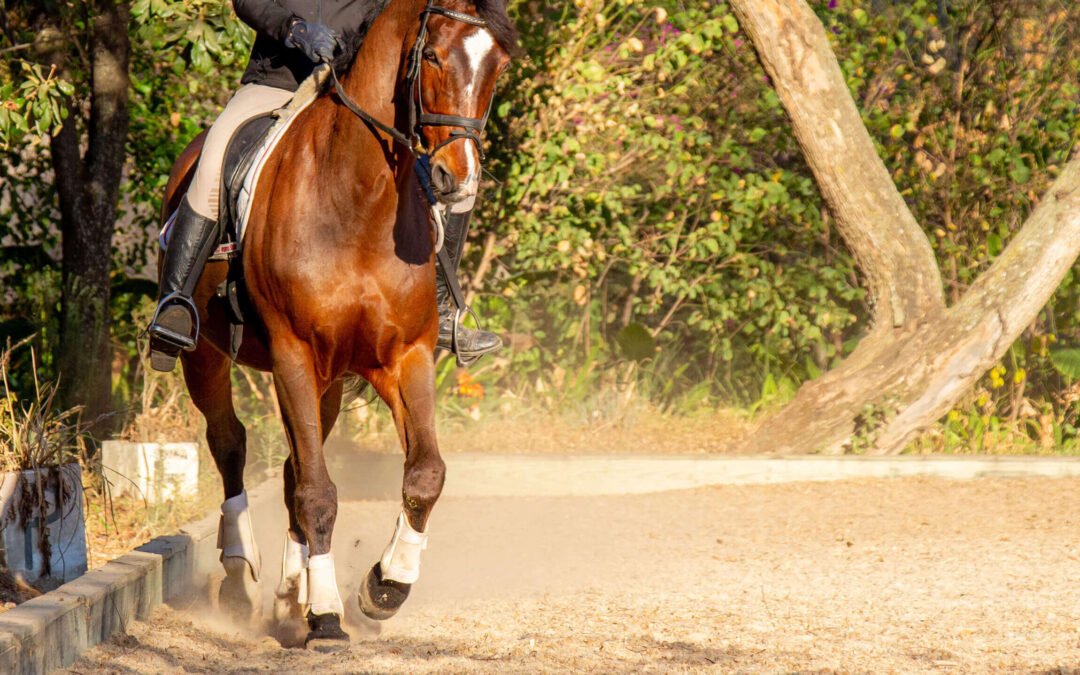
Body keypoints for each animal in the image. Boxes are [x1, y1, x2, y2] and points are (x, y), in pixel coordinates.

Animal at [158, 0, 517, 650]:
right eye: (432, 55)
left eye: (498, 66)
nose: (457, 180)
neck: (360, 200)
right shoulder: (293, 354)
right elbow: (319, 492)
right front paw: (326, 617)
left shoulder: (405, 356)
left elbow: (424, 473)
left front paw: (385, 586)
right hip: (208, 357)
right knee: (230, 445)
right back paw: (239, 578)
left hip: (325, 382)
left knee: (292, 465)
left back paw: (289, 589)